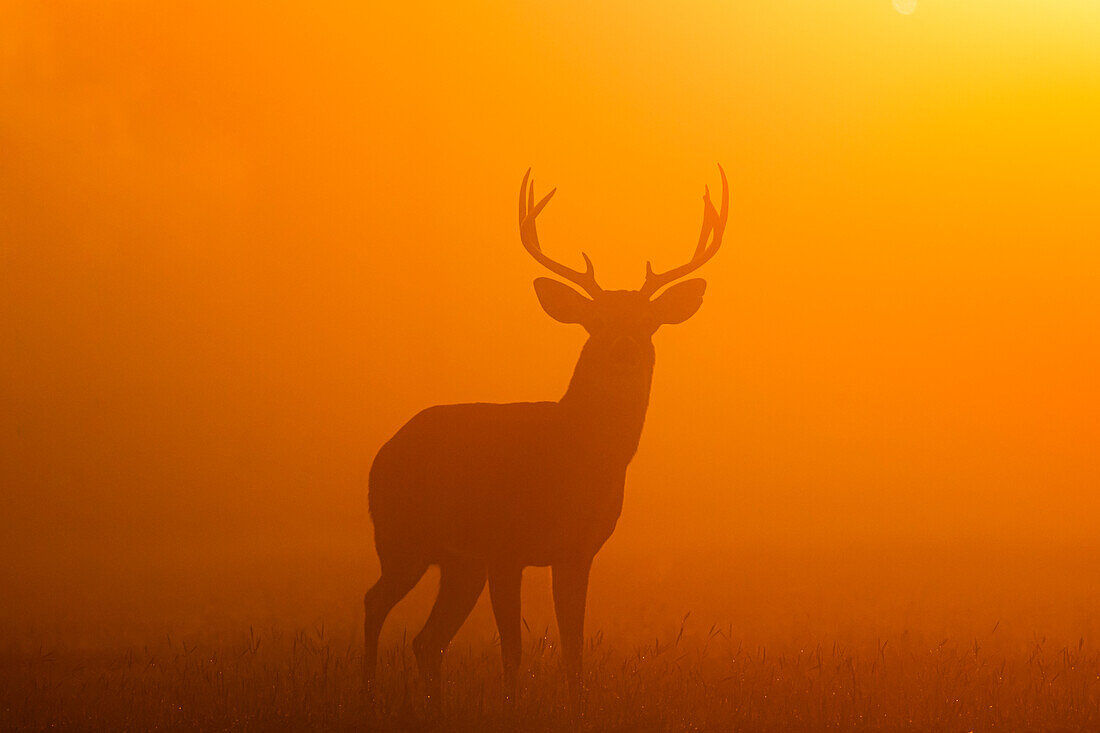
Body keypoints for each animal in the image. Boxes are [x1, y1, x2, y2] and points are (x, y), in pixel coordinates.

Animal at [369, 163, 730, 704]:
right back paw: (362, 689)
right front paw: (511, 707)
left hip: (456, 563)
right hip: (401, 537)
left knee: (427, 641)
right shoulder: (504, 547)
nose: (624, 348)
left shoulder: (578, 552)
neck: (570, 460)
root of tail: (383, 452)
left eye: (649, 323)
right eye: (595, 320)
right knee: (375, 604)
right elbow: (513, 651)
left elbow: (574, 649)